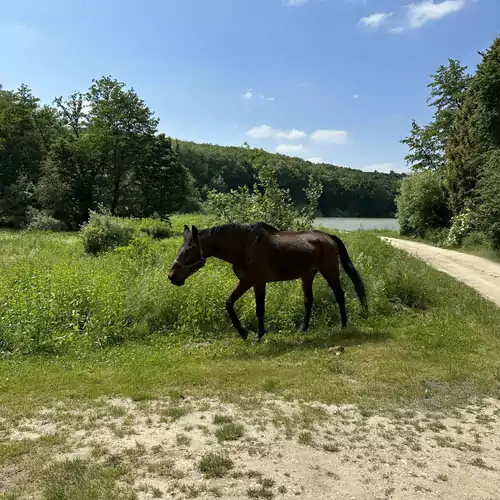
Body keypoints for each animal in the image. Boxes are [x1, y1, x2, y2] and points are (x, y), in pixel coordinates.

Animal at [168, 222, 368, 342]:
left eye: (188, 250)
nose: (172, 276)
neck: (244, 248)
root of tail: (328, 236)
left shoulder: (258, 283)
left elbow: (259, 309)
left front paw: (259, 334)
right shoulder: (245, 281)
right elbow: (229, 303)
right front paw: (243, 332)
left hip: (330, 271)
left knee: (339, 294)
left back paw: (343, 325)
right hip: (308, 275)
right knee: (308, 300)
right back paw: (303, 329)